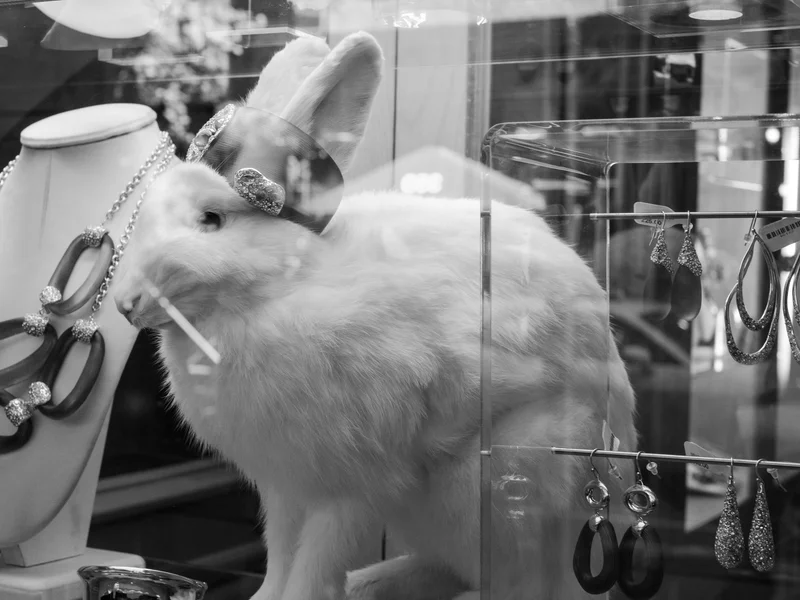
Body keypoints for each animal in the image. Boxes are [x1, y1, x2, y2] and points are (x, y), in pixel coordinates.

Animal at [113, 31, 638, 600]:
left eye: (212, 219)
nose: (125, 303)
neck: (278, 288)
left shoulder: (355, 484)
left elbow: (315, 564)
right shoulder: (284, 484)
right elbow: (280, 555)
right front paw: (264, 596)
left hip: (502, 488)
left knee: (516, 579)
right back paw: (374, 582)